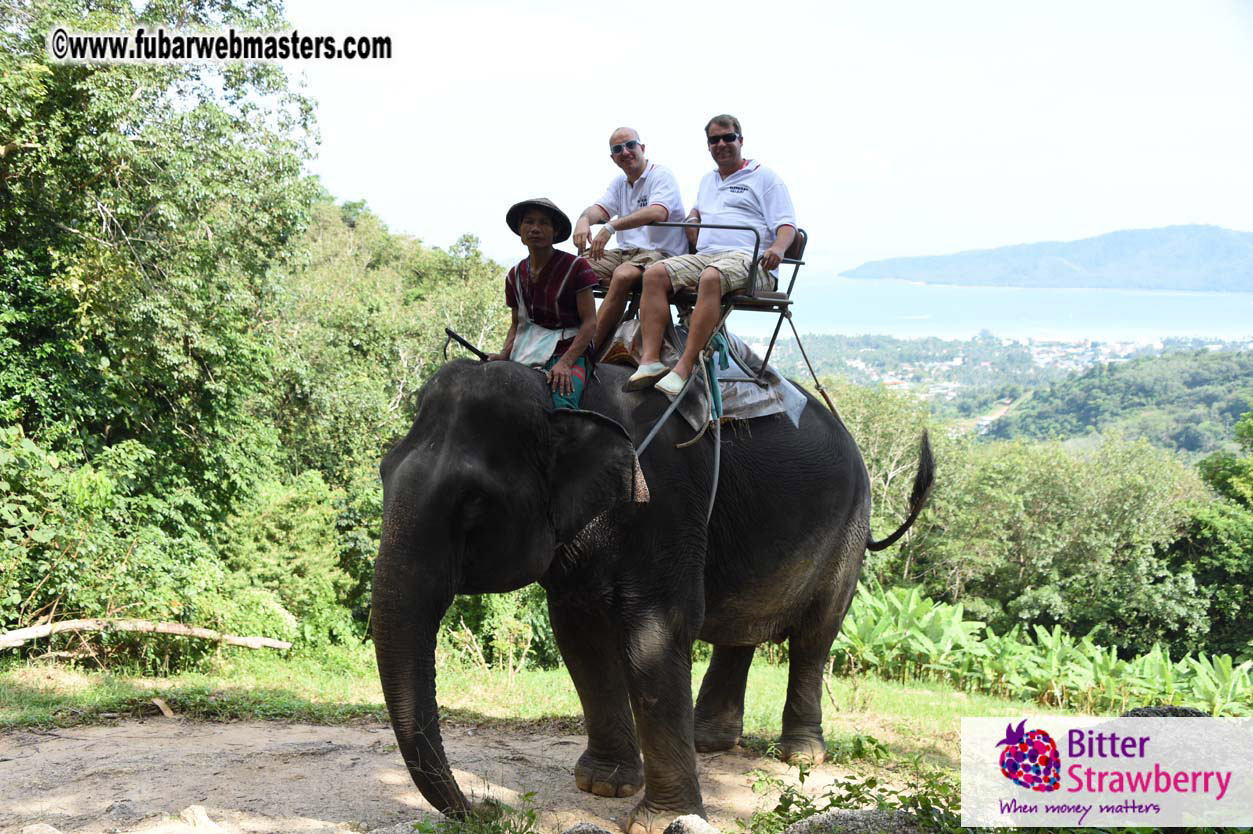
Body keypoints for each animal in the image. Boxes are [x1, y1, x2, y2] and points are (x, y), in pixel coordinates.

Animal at [371, 357, 933, 833]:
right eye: (382, 471)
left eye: (473, 502)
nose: (486, 808)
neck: (561, 394)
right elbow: (579, 635)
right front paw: (604, 785)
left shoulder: (665, 501)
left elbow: (655, 633)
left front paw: (659, 821)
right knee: (739, 630)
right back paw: (709, 742)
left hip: (848, 533)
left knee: (816, 636)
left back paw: (799, 755)